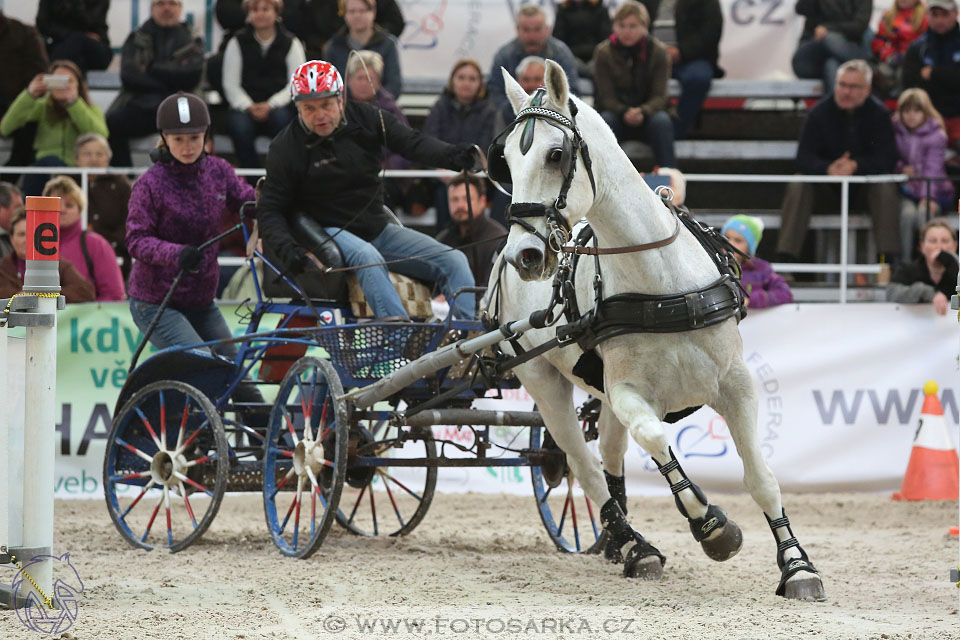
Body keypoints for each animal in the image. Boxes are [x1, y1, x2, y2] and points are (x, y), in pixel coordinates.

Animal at [488, 62, 824, 604]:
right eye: (507, 165)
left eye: (555, 154)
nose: (528, 256)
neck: (661, 283)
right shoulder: (628, 392)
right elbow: (656, 437)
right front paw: (713, 527)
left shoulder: (735, 383)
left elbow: (761, 478)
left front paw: (797, 567)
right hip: (542, 380)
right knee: (584, 465)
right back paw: (634, 545)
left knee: (608, 455)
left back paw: (618, 542)